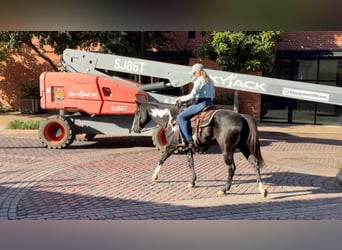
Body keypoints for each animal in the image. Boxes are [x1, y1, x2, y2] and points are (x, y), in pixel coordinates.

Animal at [131, 100, 268, 197]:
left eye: (137, 113)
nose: (134, 129)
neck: (171, 119)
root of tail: (242, 117)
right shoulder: (187, 148)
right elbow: (191, 164)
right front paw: (192, 182)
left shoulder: (171, 146)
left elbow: (162, 159)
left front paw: (154, 176)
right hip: (244, 147)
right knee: (255, 163)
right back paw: (262, 189)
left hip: (227, 150)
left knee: (232, 167)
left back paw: (224, 189)